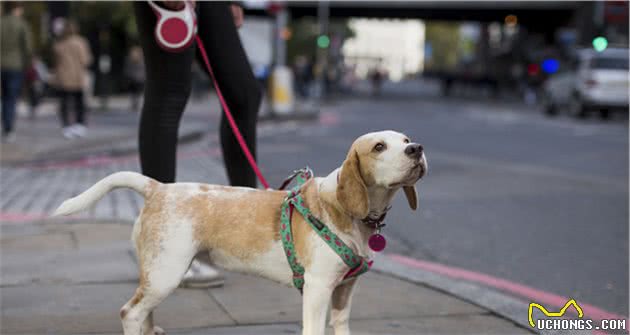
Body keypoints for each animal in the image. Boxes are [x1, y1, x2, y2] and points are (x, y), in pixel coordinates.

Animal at [54, 131, 430, 335]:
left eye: (405, 140)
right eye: (379, 147)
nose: (417, 148)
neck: (347, 209)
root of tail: (157, 188)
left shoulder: (344, 291)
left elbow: (341, 326)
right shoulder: (318, 288)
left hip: (156, 275)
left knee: (143, 309)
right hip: (166, 273)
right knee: (130, 312)